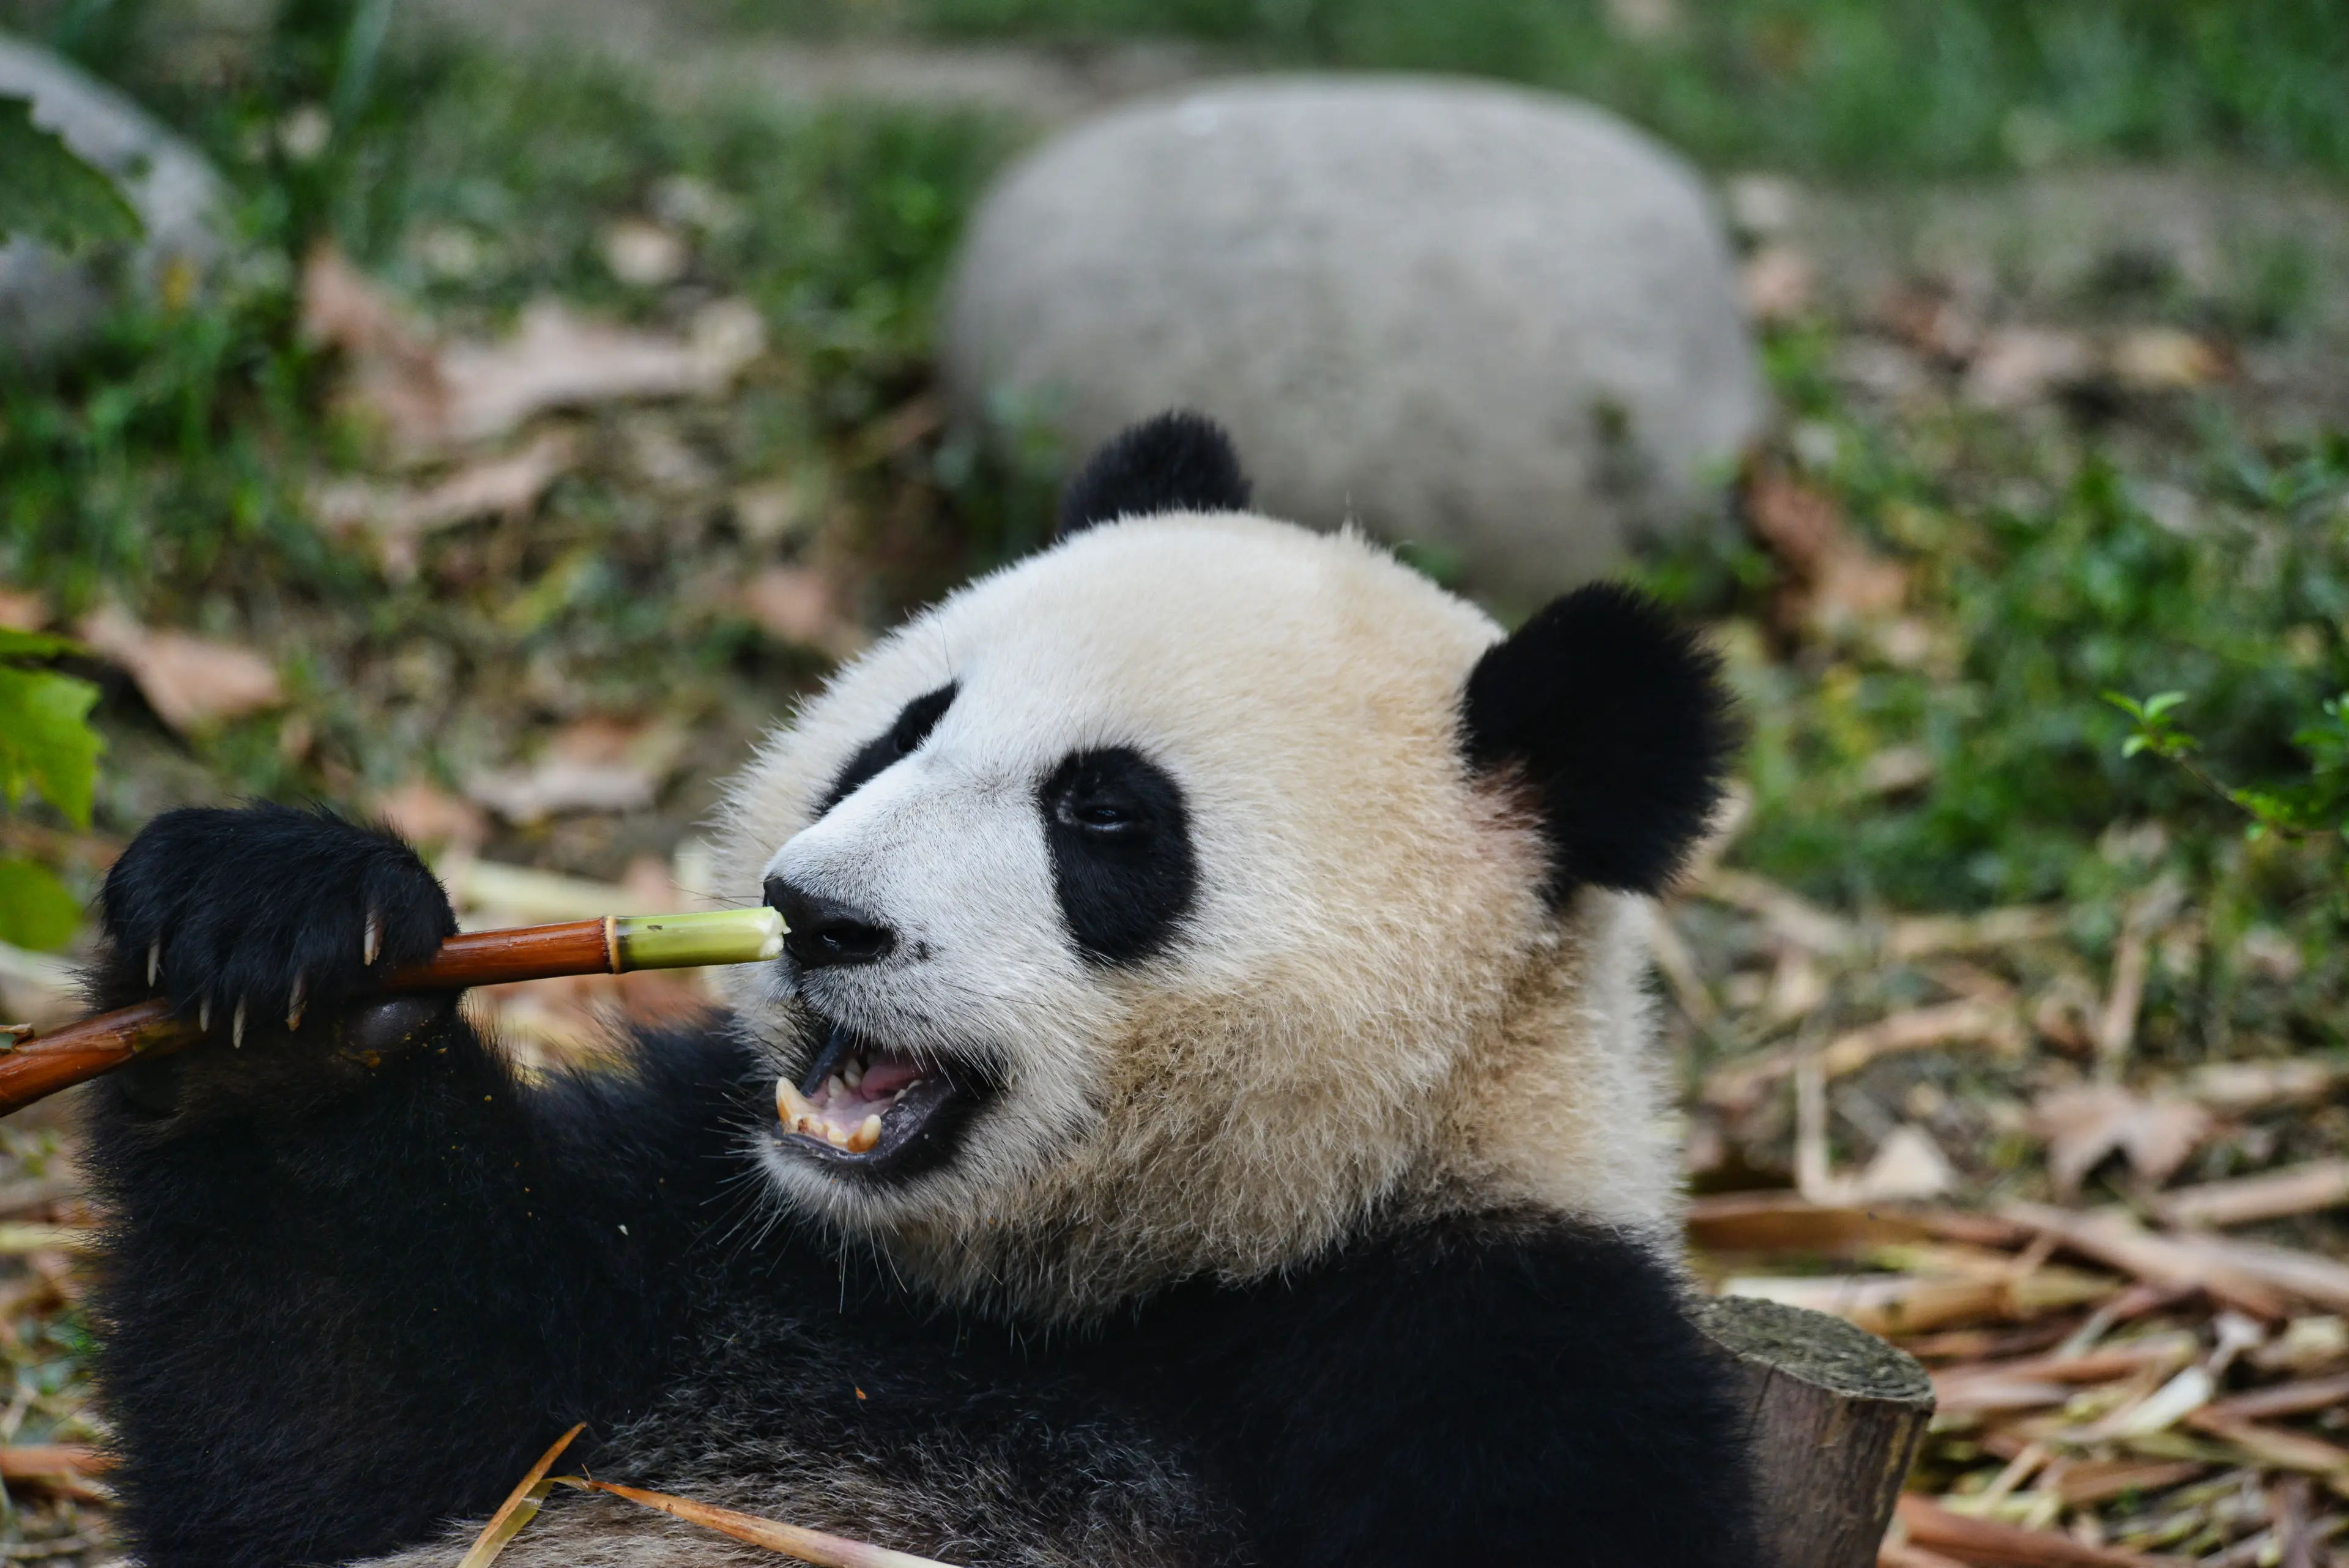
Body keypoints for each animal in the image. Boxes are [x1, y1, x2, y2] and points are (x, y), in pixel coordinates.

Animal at [85, 413, 1760, 1568]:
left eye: (1105, 818)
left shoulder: (1485, 1342)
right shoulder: (701, 1225)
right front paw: (294, 964)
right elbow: (347, 1433)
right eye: (901, 733)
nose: (816, 915)